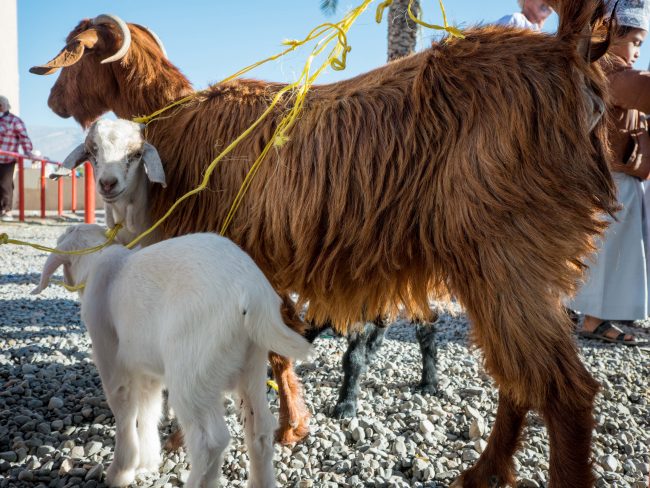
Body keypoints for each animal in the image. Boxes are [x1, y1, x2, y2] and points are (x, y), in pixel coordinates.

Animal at [31, 2, 616, 484]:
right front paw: (294, 424)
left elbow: (274, 351)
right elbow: (277, 345)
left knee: (563, 391)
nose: (51, 99)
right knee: (518, 379)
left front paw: (281, 427)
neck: (182, 124)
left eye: (74, 54)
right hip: (505, 265)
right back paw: (485, 471)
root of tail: (569, 54)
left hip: (506, 251)